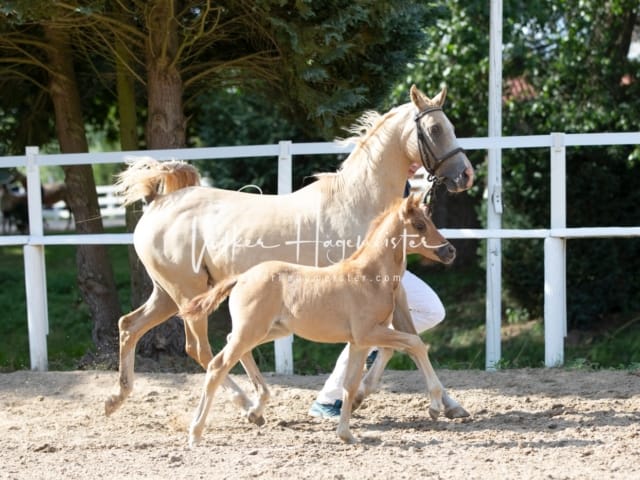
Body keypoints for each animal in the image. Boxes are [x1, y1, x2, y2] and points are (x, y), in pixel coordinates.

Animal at [182, 193, 458, 444]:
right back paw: (195, 433)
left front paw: (346, 434)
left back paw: (255, 410)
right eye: (420, 225)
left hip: (268, 330)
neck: (370, 278)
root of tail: (242, 277)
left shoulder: (360, 342)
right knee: (217, 365)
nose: (449, 251)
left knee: (232, 346)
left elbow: (350, 385)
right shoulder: (368, 333)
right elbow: (416, 344)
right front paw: (435, 406)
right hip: (251, 330)